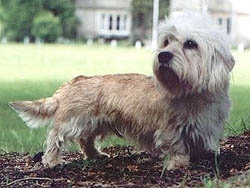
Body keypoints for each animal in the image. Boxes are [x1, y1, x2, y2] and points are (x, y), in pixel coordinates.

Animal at [8, 12, 234, 170]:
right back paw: (52, 160)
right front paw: (177, 163)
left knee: (85, 140)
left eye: (190, 44)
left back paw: (95, 155)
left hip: (94, 123)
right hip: (71, 122)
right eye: (166, 42)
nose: (163, 55)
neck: (193, 93)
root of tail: (69, 84)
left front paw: (207, 153)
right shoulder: (170, 129)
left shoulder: (207, 126)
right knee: (55, 137)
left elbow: (203, 143)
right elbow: (176, 146)